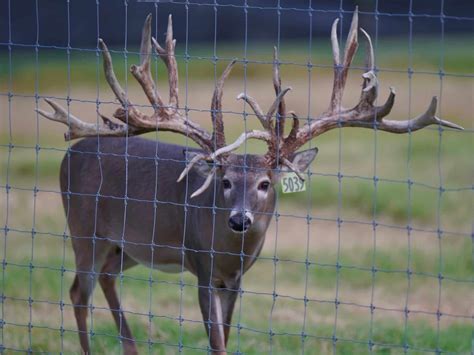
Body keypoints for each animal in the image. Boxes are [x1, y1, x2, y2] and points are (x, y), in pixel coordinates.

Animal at [38, 7, 462, 355]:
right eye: (224, 181)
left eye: (265, 183)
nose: (239, 219)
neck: (229, 250)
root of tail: (71, 153)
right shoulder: (202, 265)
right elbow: (217, 342)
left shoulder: (236, 279)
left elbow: (226, 334)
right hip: (84, 228)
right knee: (78, 291)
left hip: (126, 246)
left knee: (106, 277)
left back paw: (130, 347)